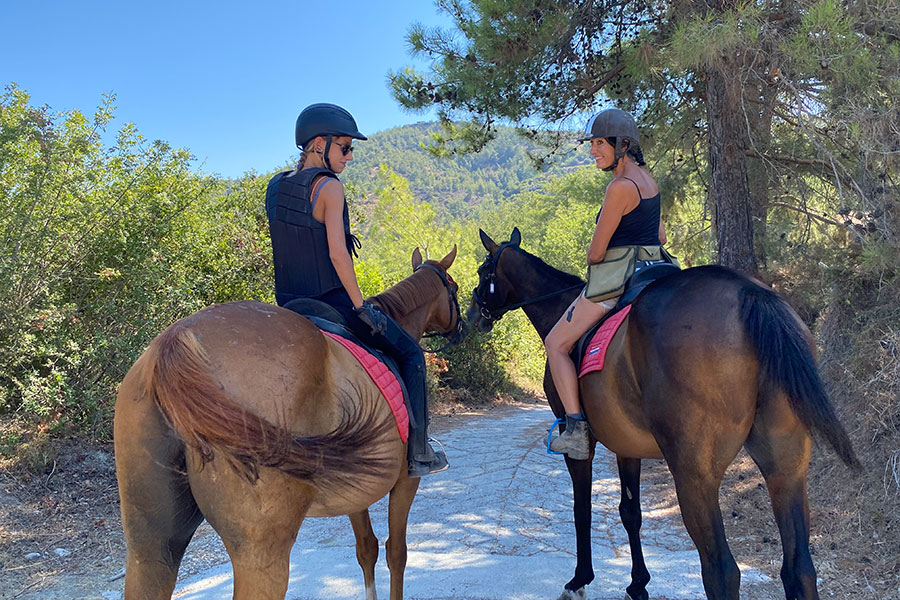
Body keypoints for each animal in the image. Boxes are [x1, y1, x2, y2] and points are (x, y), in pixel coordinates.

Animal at [114, 246, 463, 600]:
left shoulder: (357, 491)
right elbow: (396, 552)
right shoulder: (405, 482)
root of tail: (172, 343)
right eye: (454, 287)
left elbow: (367, 548)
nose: (462, 326)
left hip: (150, 547)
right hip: (261, 554)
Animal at [467, 229, 859, 600]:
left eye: (483, 271)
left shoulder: (579, 441)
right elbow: (630, 512)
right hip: (786, 469)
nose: (471, 315)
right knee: (799, 569)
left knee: (722, 571)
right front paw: (638, 583)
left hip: (694, 475)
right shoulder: (626, 444)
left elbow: (582, 509)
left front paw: (580, 579)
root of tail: (748, 292)